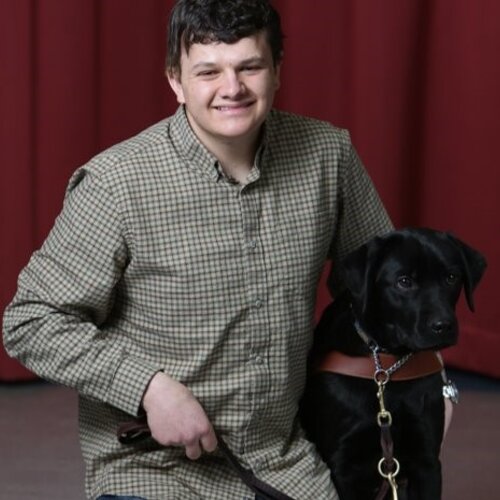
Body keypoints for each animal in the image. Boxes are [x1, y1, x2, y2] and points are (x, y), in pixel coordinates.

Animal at [298, 229, 486, 500]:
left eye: (451, 277)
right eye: (404, 281)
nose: (443, 326)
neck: (386, 369)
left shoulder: (427, 461)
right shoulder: (343, 465)